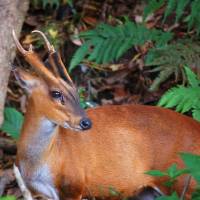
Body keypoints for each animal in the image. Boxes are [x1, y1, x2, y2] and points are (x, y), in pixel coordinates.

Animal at [12, 30, 200, 200]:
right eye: (56, 93)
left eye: (74, 90)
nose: (86, 122)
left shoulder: (74, 185)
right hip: (148, 191)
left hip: (183, 180)